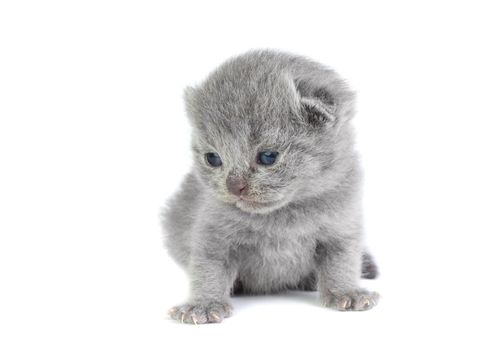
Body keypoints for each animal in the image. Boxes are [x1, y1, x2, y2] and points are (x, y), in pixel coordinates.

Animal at [162, 50, 378, 326]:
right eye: (213, 158)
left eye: (267, 157)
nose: (234, 186)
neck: (282, 217)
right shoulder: (213, 235)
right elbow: (208, 269)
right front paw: (203, 304)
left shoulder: (341, 227)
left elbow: (342, 263)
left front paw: (346, 292)